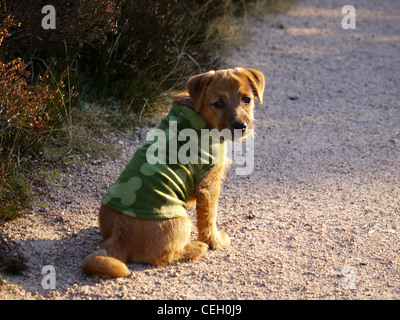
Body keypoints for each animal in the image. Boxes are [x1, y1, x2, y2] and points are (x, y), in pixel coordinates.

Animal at [81, 68, 264, 278]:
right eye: (218, 103)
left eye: (246, 99)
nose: (241, 127)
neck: (201, 115)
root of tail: (118, 235)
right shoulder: (209, 185)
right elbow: (209, 218)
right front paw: (215, 241)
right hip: (182, 222)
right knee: (163, 257)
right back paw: (196, 248)